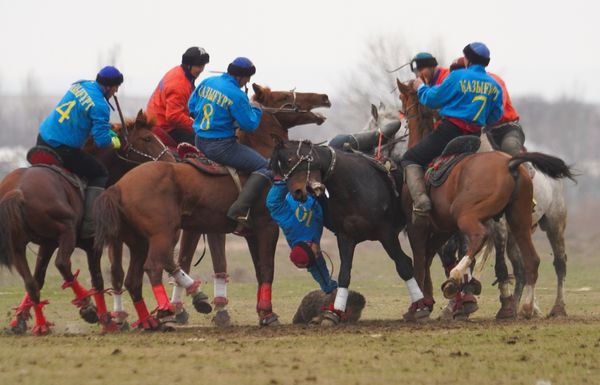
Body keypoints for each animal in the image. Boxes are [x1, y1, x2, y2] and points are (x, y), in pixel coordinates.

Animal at [0, 110, 173, 332]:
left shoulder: (47, 244)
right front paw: (106, 320)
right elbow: (98, 281)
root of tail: (17, 190)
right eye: (147, 138)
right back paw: (87, 306)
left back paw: (43, 325)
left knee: (31, 283)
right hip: (66, 230)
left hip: (19, 246)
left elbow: (38, 279)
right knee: (62, 263)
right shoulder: (93, 246)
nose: (170, 160)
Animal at [97, 85, 332, 328]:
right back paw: (165, 309)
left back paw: (149, 321)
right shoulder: (267, 227)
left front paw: (261, 311)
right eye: (283, 96)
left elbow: (259, 269)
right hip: (161, 235)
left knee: (132, 279)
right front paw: (268, 314)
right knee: (153, 266)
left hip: (138, 241)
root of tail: (118, 186)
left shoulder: (251, 233)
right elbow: (267, 269)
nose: (323, 97)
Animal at [268, 138, 432, 324]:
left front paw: (420, 308)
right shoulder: (345, 237)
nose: (297, 193)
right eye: (276, 170)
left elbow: (404, 265)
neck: (352, 186)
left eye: (289, 161)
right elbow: (344, 274)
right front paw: (334, 312)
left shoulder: (386, 233)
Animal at [394, 79, 576, 318]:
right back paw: (523, 306)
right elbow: (435, 257)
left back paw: (555, 307)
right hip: (518, 226)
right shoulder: (446, 230)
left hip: (551, 223)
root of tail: (510, 164)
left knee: (559, 263)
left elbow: (421, 261)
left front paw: (422, 305)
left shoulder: (420, 226)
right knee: (527, 263)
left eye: (402, 99)